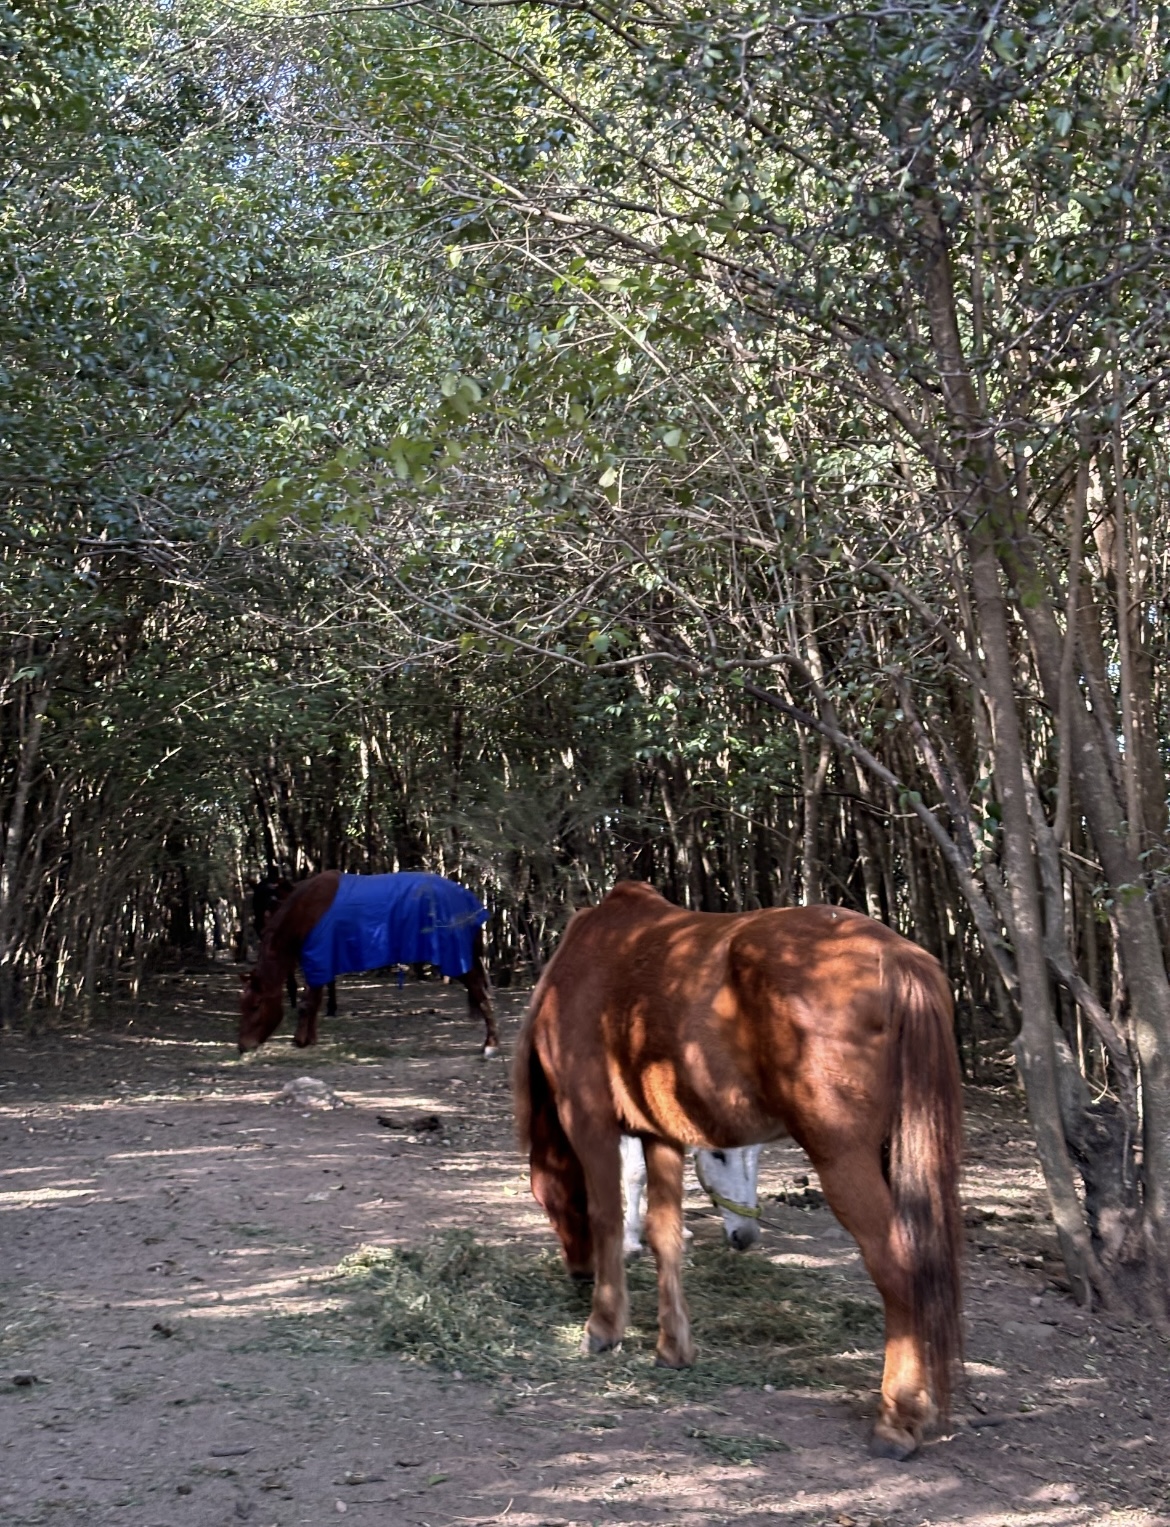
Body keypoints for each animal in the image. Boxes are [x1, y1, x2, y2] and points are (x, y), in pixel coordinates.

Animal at [240, 871, 498, 1057]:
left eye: (256, 1005)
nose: (243, 1046)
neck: (305, 910)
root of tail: (468, 902)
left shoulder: (319, 958)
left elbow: (307, 1003)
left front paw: (301, 1040)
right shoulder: (319, 961)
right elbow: (314, 1001)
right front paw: (309, 1039)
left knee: (480, 992)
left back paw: (491, 1045)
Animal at [621, 1137, 761, 1256]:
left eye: (757, 1154)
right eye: (717, 1153)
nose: (746, 1236)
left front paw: (680, 1231)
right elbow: (637, 1173)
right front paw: (631, 1242)